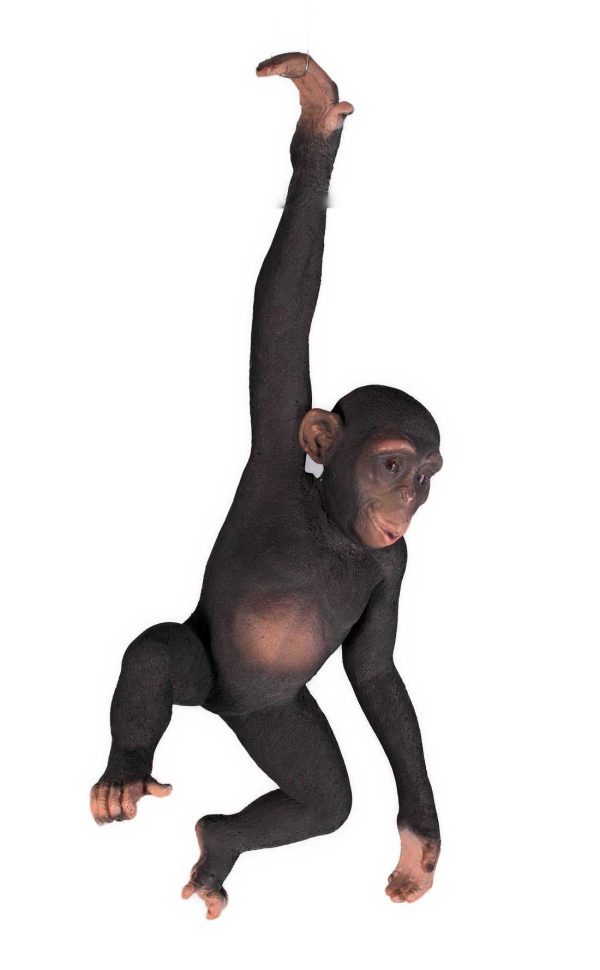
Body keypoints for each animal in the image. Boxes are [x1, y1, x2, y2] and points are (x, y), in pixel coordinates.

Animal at [90, 52, 443, 920]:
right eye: (391, 465)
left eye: (427, 476)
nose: (407, 501)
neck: (333, 526)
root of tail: (225, 710)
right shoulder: (278, 450)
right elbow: (282, 307)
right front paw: (315, 129)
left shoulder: (396, 563)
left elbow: (377, 675)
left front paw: (419, 844)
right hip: (214, 675)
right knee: (159, 652)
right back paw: (125, 771)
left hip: (276, 717)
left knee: (321, 800)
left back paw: (218, 843)